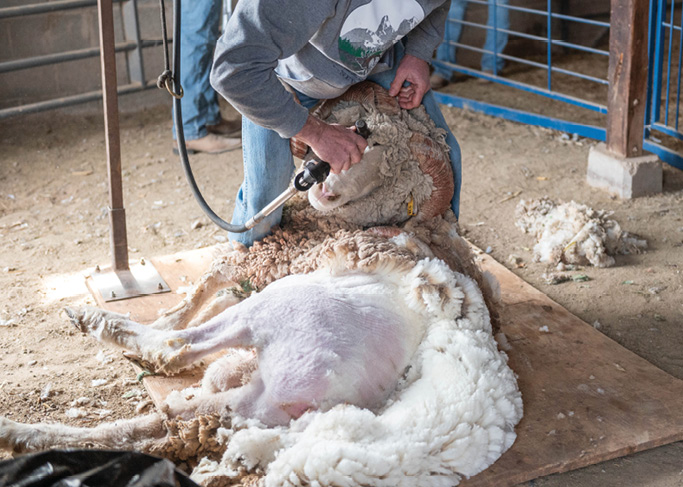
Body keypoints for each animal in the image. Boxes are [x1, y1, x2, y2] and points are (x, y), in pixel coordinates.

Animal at [0, 82, 521, 487]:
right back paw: (27, 437)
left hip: (281, 317)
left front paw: (165, 315)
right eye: (358, 128)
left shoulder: (261, 258)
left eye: (381, 153)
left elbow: (203, 288)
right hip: (255, 402)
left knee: (173, 352)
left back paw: (90, 323)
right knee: (166, 425)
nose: (319, 184)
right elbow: (209, 288)